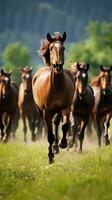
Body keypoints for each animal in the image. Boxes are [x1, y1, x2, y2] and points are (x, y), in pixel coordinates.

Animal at [32, 31, 74, 162]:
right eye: (51, 48)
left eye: (63, 48)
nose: (58, 66)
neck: (56, 86)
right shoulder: (47, 111)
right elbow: (49, 135)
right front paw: (50, 157)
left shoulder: (65, 108)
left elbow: (65, 125)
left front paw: (63, 143)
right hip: (41, 111)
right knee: (48, 127)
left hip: (58, 111)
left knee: (56, 123)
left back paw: (56, 146)